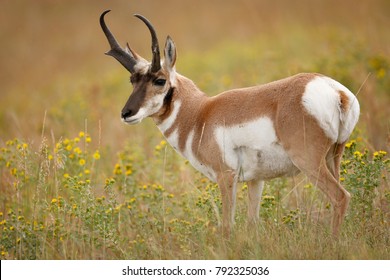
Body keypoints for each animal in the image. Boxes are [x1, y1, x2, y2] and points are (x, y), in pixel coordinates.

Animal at [100, 9, 360, 235]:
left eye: (160, 80)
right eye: (132, 80)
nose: (127, 113)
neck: (200, 114)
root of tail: (336, 91)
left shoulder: (226, 177)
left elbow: (227, 227)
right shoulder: (256, 181)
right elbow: (252, 223)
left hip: (309, 162)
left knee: (340, 197)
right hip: (333, 157)